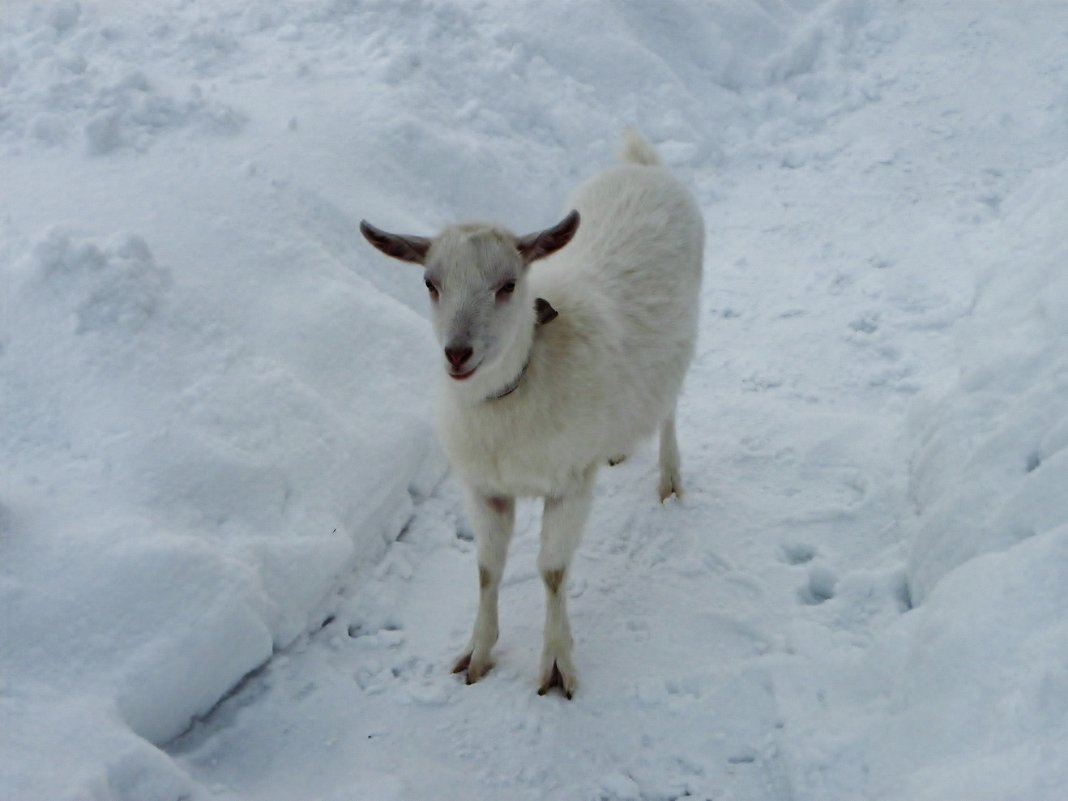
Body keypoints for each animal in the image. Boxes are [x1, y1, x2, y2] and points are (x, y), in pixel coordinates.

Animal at [363, 130, 704, 696]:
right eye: (431, 283)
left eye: (507, 285)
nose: (457, 353)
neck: (518, 386)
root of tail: (642, 165)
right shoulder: (485, 488)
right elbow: (486, 568)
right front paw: (476, 655)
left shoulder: (569, 484)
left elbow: (552, 571)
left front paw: (557, 666)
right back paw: (618, 448)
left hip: (684, 340)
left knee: (670, 408)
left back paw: (670, 480)